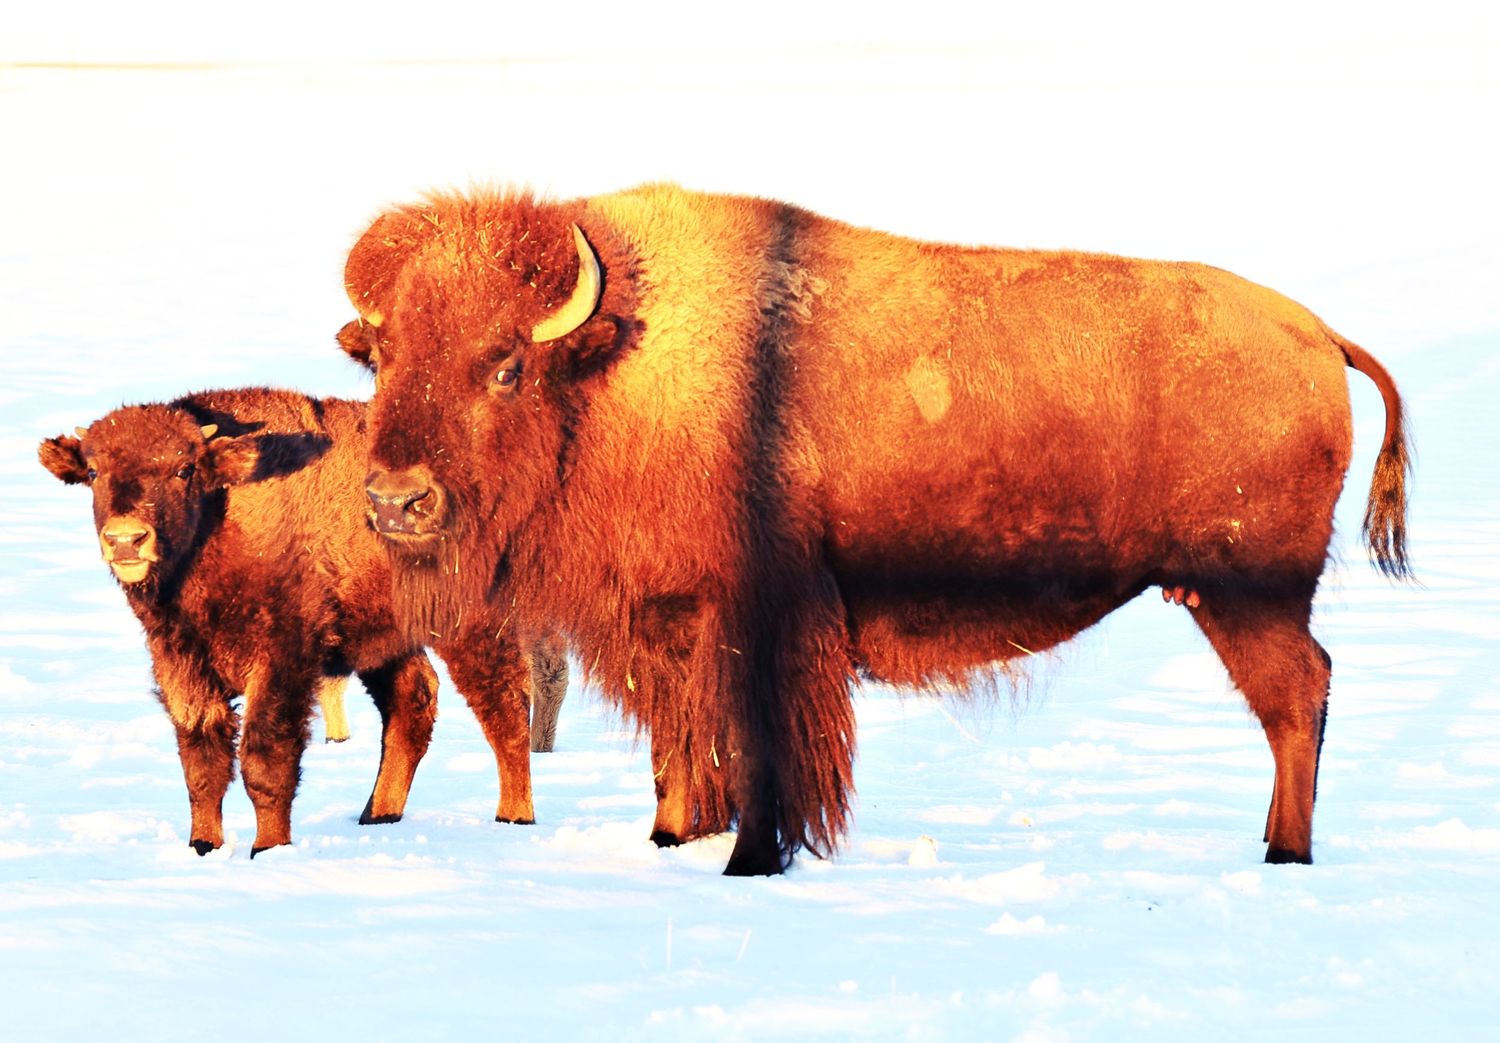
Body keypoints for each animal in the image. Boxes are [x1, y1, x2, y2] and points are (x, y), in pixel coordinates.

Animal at [40, 388, 565, 854]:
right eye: (93, 471)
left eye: (183, 469)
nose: (126, 540)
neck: (220, 516)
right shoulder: (180, 662)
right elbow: (202, 763)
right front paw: (203, 847)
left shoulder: (282, 658)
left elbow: (264, 760)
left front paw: (268, 849)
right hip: (385, 640)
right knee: (413, 700)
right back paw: (377, 816)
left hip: (471, 629)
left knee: (505, 712)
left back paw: (513, 818)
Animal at [338, 183, 1410, 875]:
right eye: (381, 356)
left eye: (505, 362)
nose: (394, 500)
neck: (615, 366)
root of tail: (1319, 335)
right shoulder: (665, 626)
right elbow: (680, 753)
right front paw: (672, 839)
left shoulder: (762, 627)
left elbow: (761, 753)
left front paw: (752, 860)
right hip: (1238, 598)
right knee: (1298, 698)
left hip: (1247, 595)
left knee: (1297, 697)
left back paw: (1286, 852)